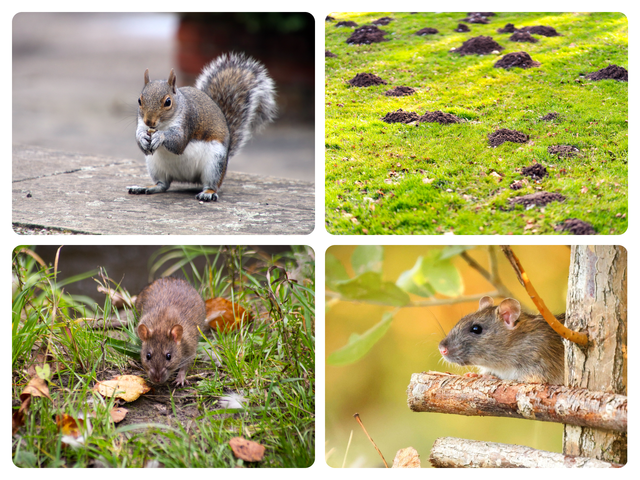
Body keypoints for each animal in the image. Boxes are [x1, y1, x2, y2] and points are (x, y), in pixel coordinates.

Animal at [129, 53, 276, 202]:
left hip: (215, 164)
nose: (149, 121)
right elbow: (139, 135)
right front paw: (142, 138)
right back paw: (146, 187)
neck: (163, 124)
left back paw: (208, 193)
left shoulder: (188, 120)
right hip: (155, 166)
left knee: (211, 184)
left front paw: (160, 136)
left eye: (168, 102)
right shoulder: (141, 124)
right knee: (163, 184)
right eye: (139, 100)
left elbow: (179, 142)